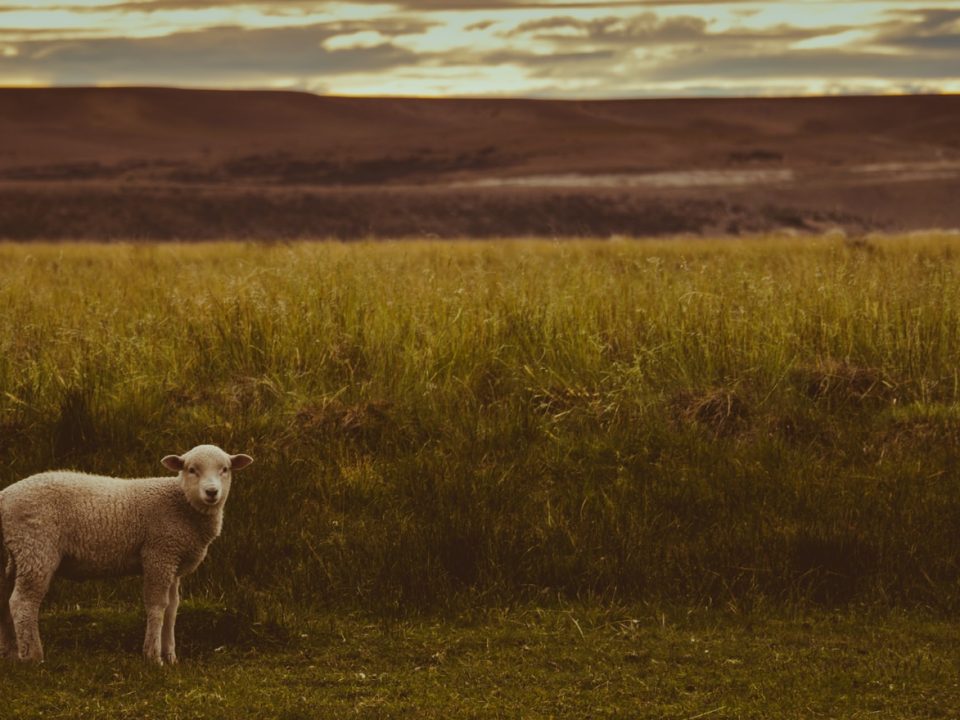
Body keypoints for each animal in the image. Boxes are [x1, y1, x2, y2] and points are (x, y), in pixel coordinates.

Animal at [0, 444, 253, 664]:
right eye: (192, 469)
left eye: (225, 469)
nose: (212, 492)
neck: (181, 502)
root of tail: (5, 495)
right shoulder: (158, 554)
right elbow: (157, 605)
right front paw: (153, 657)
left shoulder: (173, 562)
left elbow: (172, 608)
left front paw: (171, 657)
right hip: (36, 546)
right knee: (23, 602)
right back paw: (32, 657)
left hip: (17, 553)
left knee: (5, 597)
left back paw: (11, 653)